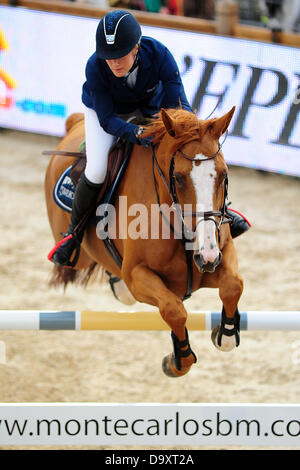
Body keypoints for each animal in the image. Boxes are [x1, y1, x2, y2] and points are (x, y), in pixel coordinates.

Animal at [45, 107, 244, 378]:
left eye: (224, 175)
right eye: (178, 178)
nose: (206, 258)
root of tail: (73, 123)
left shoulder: (220, 254)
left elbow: (233, 284)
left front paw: (226, 334)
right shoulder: (137, 276)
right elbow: (173, 309)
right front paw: (177, 361)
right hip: (79, 255)